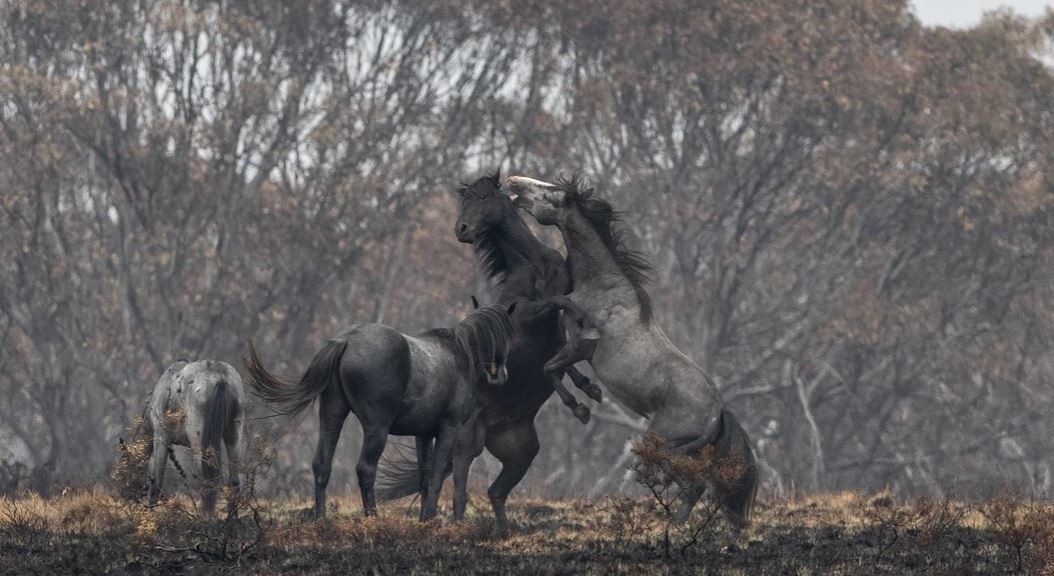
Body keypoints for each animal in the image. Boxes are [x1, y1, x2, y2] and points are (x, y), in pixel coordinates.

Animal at [146, 359, 246, 516]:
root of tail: (220, 378)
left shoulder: (161, 437)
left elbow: (156, 479)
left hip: (198, 440)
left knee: (207, 478)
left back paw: (205, 516)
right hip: (234, 434)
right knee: (234, 480)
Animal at [243, 300, 517, 521]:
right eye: (506, 334)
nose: (501, 375)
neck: (459, 355)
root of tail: (346, 341)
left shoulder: (423, 434)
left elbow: (425, 476)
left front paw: (423, 521)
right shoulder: (448, 430)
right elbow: (437, 476)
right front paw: (429, 517)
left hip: (332, 415)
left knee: (322, 464)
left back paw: (321, 518)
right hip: (377, 427)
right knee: (365, 468)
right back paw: (372, 516)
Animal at [374, 171, 602, 536]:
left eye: (482, 199)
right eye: (464, 200)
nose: (462, 229)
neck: (534, 266)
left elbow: (560, 352)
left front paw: (587, 390)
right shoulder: (529, 316)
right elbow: (558, 308)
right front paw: (580, 400)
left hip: (522, 453)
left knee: (494, 492)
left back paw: (500, 533)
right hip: (466, 443)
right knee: (457, 492)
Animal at [506, 174, 759, 528]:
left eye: (549, 194)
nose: (514, 181)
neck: (601, 288)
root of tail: (718, 412)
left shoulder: (582, 344)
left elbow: (550, 368)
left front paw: (581, 408)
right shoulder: (574, 344)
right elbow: (559, 366)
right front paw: (590, 390)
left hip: (663, 446)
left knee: (691, 484)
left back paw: (673, 525)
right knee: (694, 486)